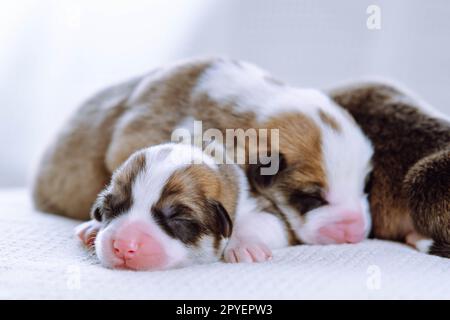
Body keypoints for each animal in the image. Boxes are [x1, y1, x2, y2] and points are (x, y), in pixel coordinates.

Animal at [75, 143, 288, 270]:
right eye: (109, 209)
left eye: (178, 218)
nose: (123, 246)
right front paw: (92, 225)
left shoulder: (263, 207)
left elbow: (258, 221)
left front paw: (246, 246)